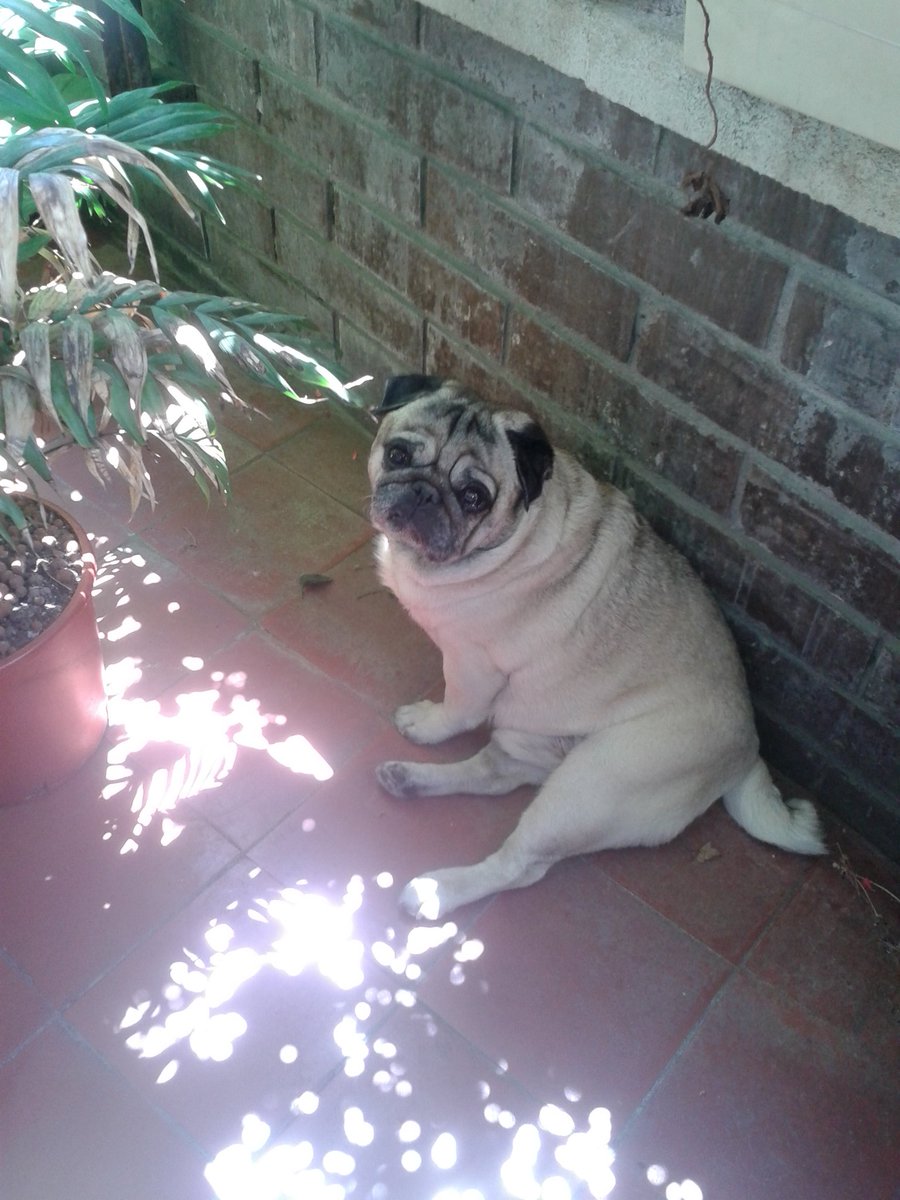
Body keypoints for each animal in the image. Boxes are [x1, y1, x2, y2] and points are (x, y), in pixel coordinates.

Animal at [369, 374, 830, 916]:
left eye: (474, 496)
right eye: (398, 454)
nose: (423, 493)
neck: (513, 538)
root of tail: (749, 748)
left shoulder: (472, 664)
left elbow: (457, 710)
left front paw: (428, 723)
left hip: (593, 786)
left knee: (521, 865)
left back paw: (436, 892)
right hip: (535, 743)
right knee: (494, 773)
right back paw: (411, 782)